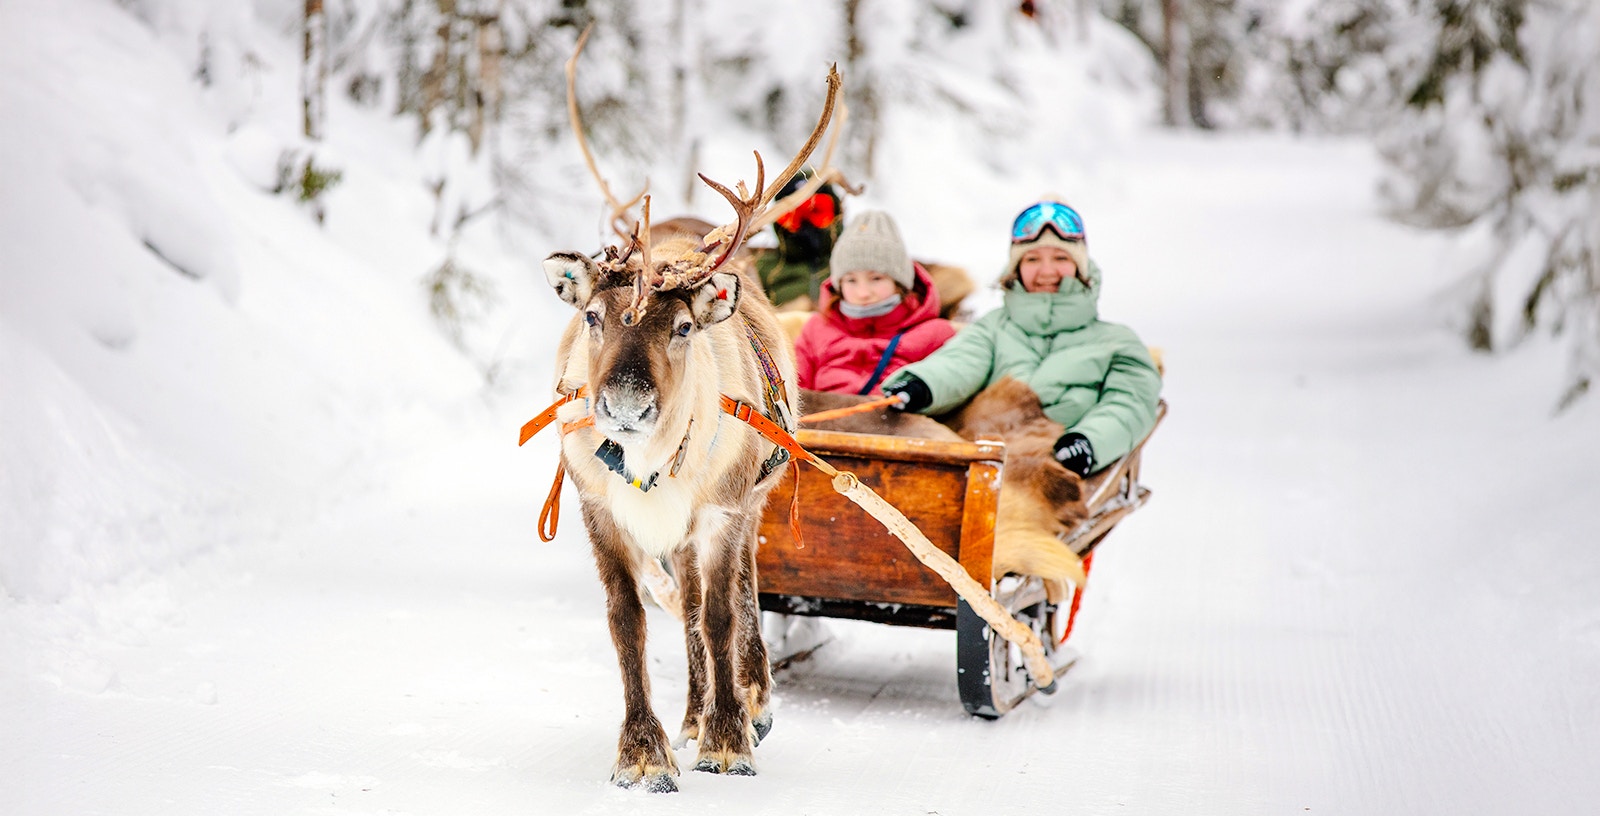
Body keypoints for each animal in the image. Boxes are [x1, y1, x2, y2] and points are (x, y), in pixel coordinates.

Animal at [534, 27, 845, 792]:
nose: (624, 403)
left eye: (679, 328)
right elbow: (630, 622)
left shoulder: (722, 511)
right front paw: (645, 752)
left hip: (752, 500)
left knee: (733, 596)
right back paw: (692, 713)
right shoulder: (600, 511)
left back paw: (749, 700)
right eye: (592, 315)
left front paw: (729, 738)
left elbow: (722, 615)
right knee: (685, 610)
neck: (649, 464)